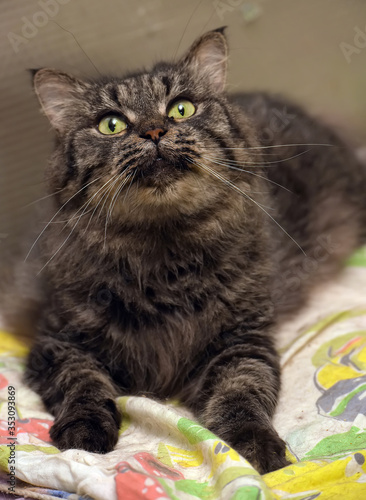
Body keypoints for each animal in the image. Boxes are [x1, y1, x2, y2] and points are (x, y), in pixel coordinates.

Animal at [5, 27, 366, 472]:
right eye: (111, 124)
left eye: (181, 109)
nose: (154, 132)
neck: (164, 254)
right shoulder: (58, 343)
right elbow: (83, 383)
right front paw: (83, 435)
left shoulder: (241, 340)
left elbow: (241, 393)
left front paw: (256, 448)